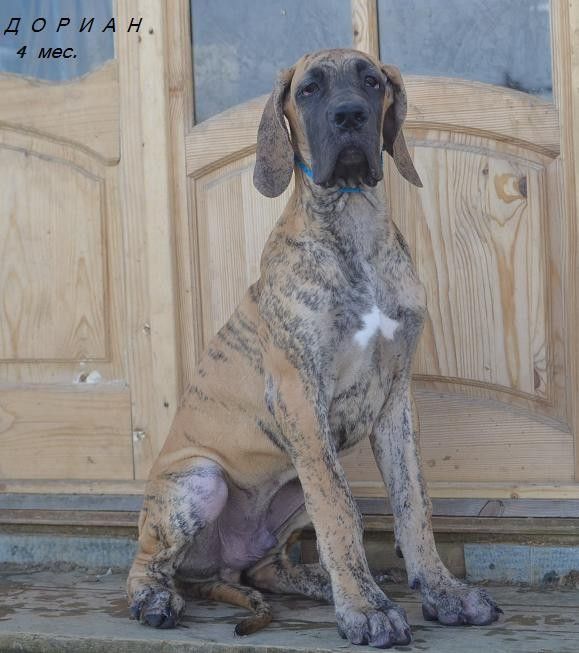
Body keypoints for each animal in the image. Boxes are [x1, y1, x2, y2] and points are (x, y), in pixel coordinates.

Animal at [127, 48, 501, 648]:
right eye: (308, 91)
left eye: (372, 82)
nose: (350, 116)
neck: (353, 220)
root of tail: (216, 567)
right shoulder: (301, 397)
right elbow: (340, 508)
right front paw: (365, 610)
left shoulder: (396, 401)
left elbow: (414, 503)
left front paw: (444, 593)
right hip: (201, 479)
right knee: (146, 563)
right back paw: (155, 599)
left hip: (288, 489)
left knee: (267, 568)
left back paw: (322, 583)